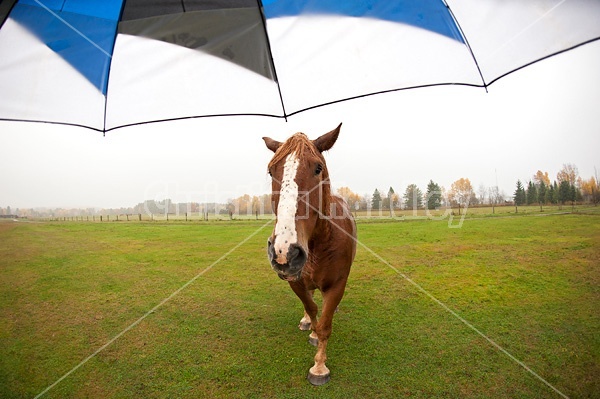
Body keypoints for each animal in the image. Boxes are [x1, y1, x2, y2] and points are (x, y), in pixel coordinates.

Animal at [262, 123, 356, 386]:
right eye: (271, 171)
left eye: (318, 168)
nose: (285, 251)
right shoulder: (295, 281)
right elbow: (312, 309)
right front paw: (312, 330)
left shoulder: (337, 284)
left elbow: (325, 324)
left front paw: (319, 367)